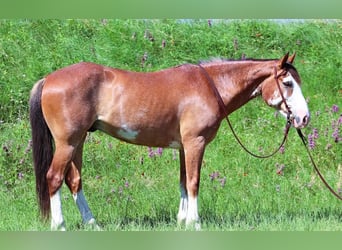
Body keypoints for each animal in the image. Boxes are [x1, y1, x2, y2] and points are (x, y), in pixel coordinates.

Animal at [30, 53, 310, 230]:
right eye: (287, 83)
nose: (304, 118)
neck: (210, 86)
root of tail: (49, 79)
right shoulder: (196, 143)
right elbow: (194, 182)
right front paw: (195, 223)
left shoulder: (184, 147)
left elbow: (183, 183)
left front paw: (182, 221)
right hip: (67, 143)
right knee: (54, 178)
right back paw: (60, 225)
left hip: (78, 142)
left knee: (74, 181)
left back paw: (92, 224)